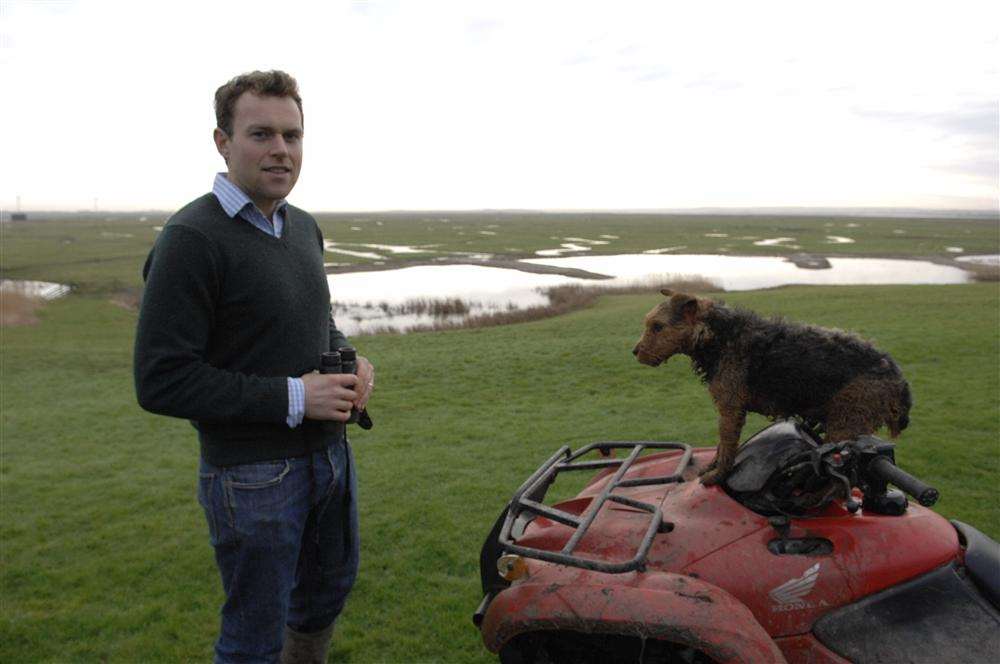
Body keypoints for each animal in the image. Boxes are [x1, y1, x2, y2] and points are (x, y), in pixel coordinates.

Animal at [636, 288, 912, 486]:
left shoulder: (731, 409)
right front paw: (711, 467)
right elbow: (721, 447)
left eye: (657, 326)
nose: (635, 352)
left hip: (845, 425)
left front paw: (716, 476)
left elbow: (726, 447)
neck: (720, 336)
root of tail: (898, 379)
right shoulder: (729, 410)